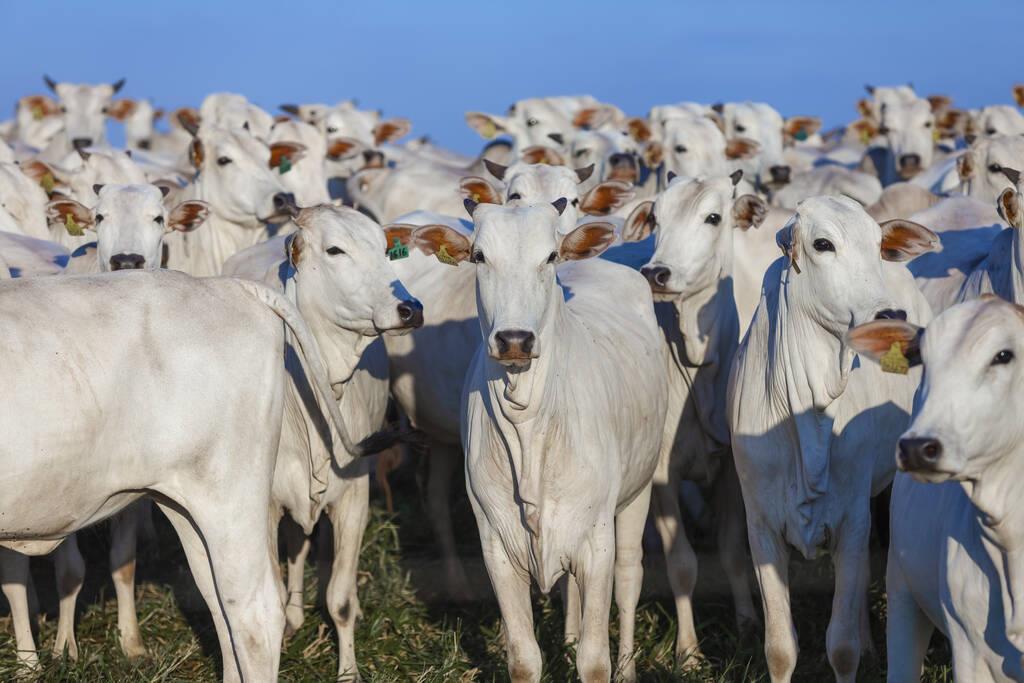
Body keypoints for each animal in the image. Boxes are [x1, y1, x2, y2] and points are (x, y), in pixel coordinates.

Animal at [411, 200, 667, 679]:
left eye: (549, 257)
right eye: (479, 256)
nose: (515, 340)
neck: (529, 425)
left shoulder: (596, 543)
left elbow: (594, 660)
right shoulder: (496, 544)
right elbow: (524, 657)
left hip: (639, 490)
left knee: (629, 577)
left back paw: (627, 666)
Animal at [729, 194, 937, 679]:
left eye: (879, 245)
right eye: (823, 244)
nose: (890, 316)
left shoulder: (854, 519)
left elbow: (841, 646)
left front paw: (856, 647)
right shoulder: (760, 527)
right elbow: (780, 647)